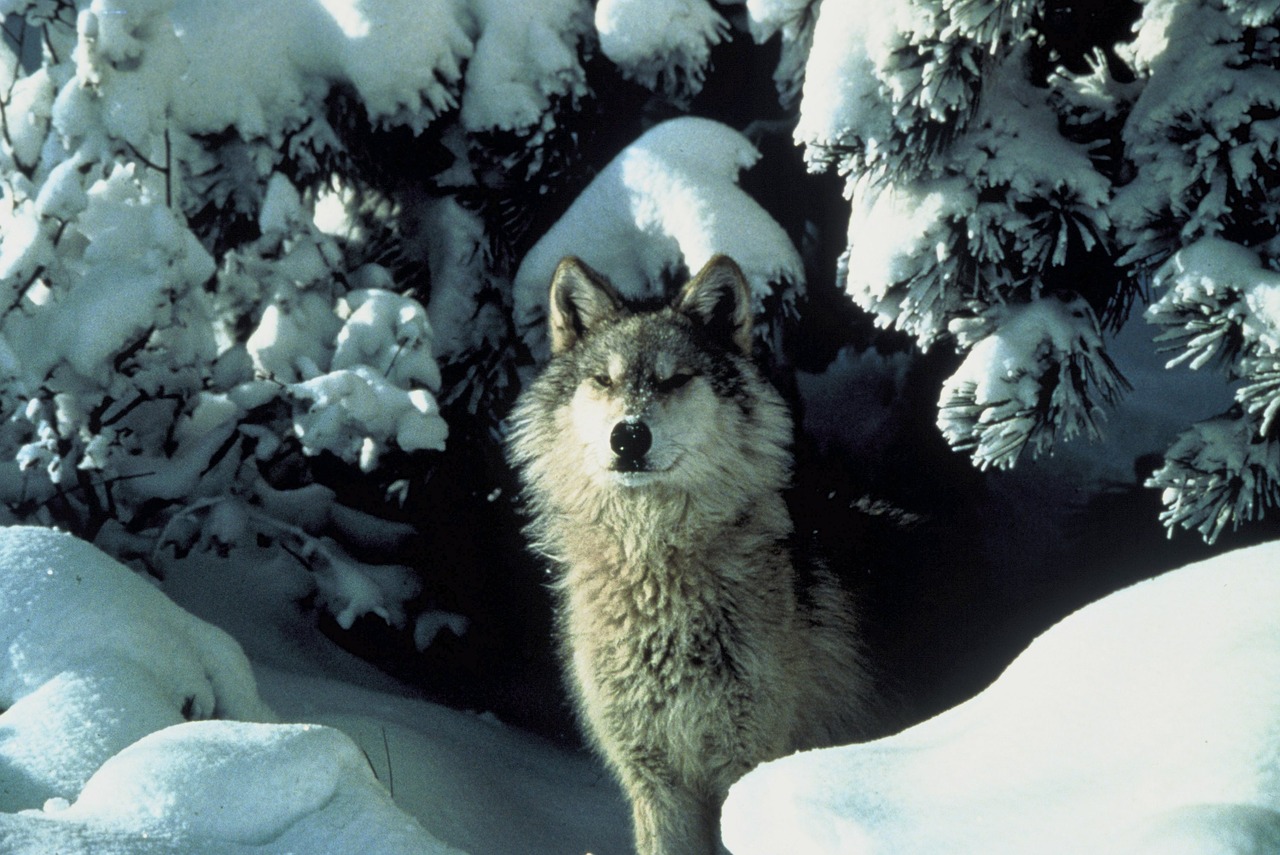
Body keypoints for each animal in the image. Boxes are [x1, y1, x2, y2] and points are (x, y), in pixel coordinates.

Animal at [504, 253, 875, 855]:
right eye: (603, 380)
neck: (654, 570)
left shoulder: (745, 767)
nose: (629, 436)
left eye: (675, 379)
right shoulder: (655, 781)